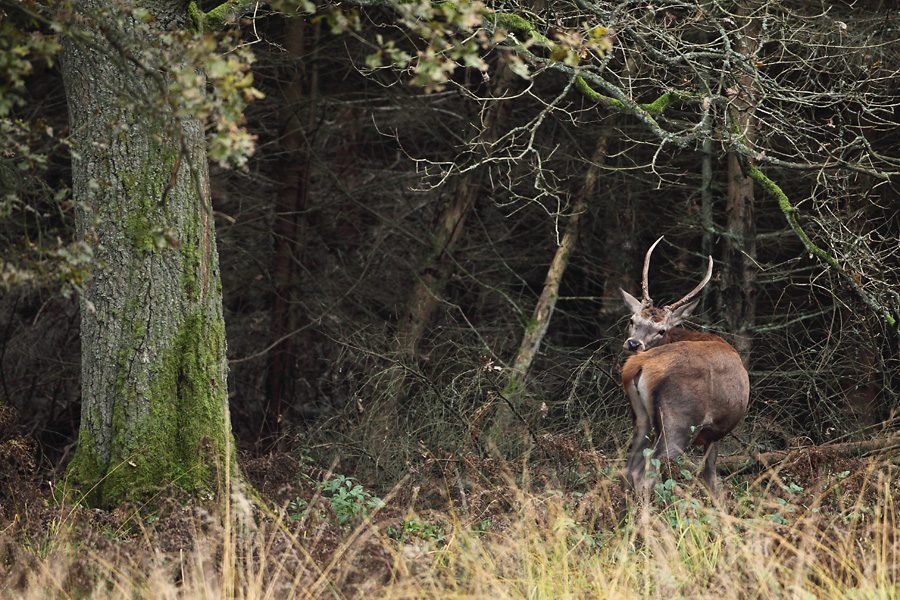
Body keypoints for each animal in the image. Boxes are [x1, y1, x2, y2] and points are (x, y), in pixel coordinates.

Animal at [620, 237, 752, 500]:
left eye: (661, 330)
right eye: (632, 320)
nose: (634, 343)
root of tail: (640, 365)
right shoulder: (715, 430)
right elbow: (710, 477)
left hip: (642, 419)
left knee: (628, 469)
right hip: (679, 422)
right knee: (646, 473)